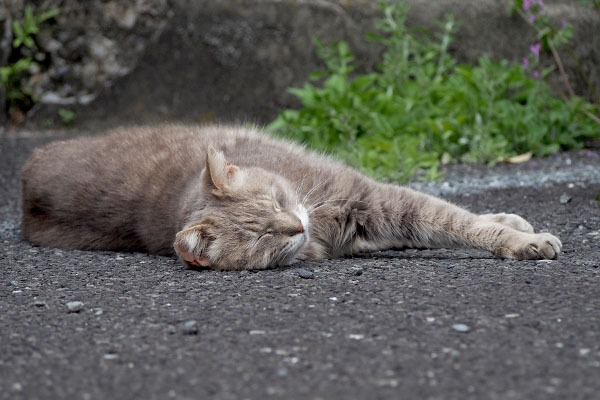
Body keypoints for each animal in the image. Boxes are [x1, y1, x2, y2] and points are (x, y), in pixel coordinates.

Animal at [19, 123, 564, 270]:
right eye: (262, 236)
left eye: (280, 204)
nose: (295, 226)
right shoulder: (369, 222)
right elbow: (449, 224)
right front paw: (521, 239)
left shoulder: (376, 199)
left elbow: (457, 220)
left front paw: (518, 235)